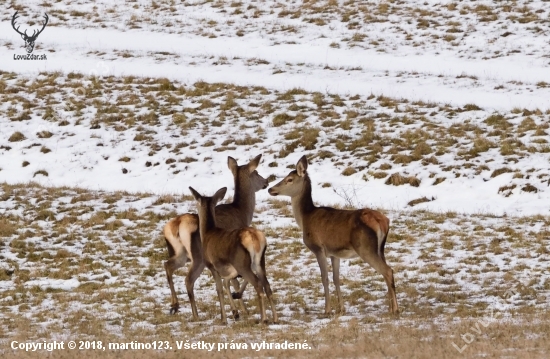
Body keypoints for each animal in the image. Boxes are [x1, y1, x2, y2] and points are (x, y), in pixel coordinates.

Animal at [163, 155, 268, 320]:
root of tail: (177, 225)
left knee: (168, 265)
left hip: (180, 253)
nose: (266, 182)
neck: (242, 212)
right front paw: (240, 308)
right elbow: (234, 281)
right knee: (188, 279)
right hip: (198, 257)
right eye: (256, 173)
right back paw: (195, 314)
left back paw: (175, 305)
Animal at [190, 187, 278, 324]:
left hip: (241, 262)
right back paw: (275, 318)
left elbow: (219, 289)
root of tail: (254, 238)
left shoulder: (211, 266)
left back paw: (263, 318)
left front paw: (224, 318)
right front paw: (235, 312)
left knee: (258, 284)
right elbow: (227, 284)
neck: (207, 234)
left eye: (196, 203)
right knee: (267, 284)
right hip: (260, 261)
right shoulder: (229, 270)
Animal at [266, 156, 396, 316]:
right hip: (380, 249)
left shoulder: (318, 248)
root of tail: (383, 221)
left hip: (365, 247)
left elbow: (325, 278)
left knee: (387, 271)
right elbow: (336, 278)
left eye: (289, 179)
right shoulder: (335, 253)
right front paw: (341, 308)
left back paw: (395, 309)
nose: (270, 189)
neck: (305, 218)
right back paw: (390, 307)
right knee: (387, 271)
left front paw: (327, 310)